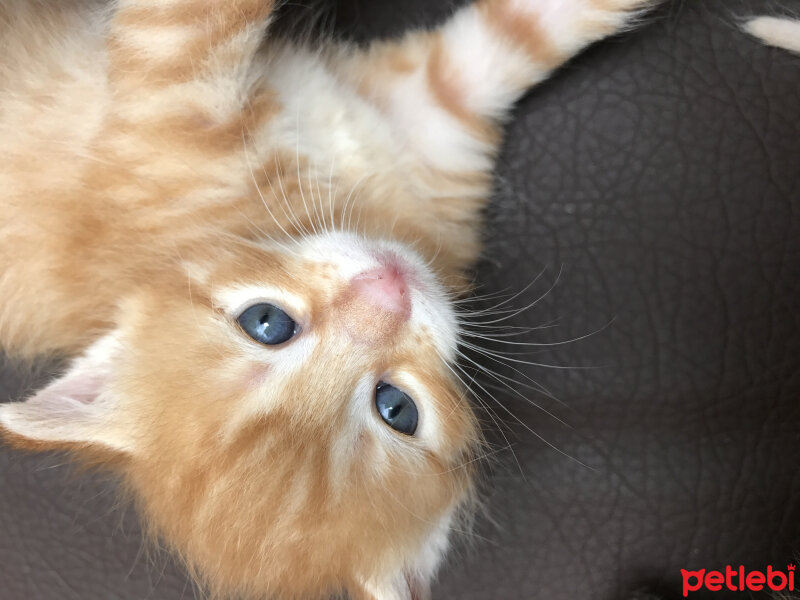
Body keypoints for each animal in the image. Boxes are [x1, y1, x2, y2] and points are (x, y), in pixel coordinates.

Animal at [0, 1, 656, 600]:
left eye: (396, 408)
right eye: (268, 323)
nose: (387, 290)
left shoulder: (423, 125)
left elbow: (508, 39)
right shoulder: (169, 95)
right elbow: (201, 18)